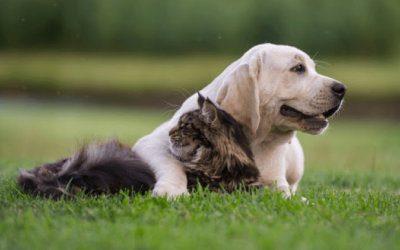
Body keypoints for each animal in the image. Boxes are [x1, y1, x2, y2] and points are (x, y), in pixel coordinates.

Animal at [133, 44, 346, 198]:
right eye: (298, 68)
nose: (342, 89)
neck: (256, 140)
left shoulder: (276, 181)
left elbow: (284, 193)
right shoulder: (150, 142)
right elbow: (171, 163)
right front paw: (172, 191)